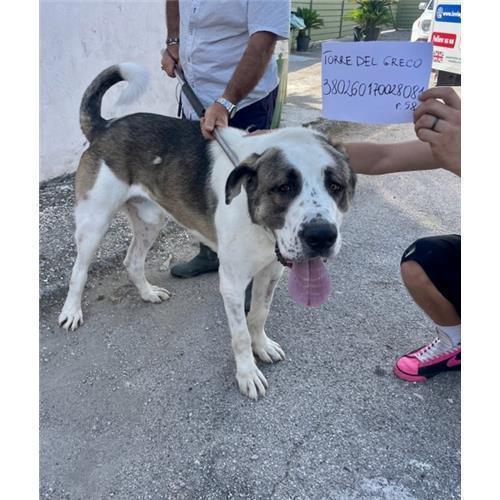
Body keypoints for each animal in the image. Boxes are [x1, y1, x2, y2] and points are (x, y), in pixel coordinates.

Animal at [59, 63, 356, 399]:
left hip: (151, 220)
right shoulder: (233, 282)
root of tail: (106, 126)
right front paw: (247, 373)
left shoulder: (271, 271)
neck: (257, 221)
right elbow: (240, 333)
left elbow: (259, 315)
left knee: (132, 261)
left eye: (336, 186)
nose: (321, 237)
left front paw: (262, 346)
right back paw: (71, 311)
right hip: (94, 222)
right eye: (283, 188)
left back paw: (148, 293)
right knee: (79, 271)